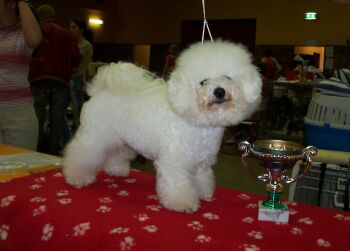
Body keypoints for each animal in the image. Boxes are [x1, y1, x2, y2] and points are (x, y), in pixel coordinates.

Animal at [63, 40, 262, 213]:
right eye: (203, 82)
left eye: (227, 78)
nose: (219, 91)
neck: (195, 121)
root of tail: (99, 92)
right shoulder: (175, 162)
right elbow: (178, 184)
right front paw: (183, 203)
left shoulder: (201, 163)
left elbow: (202, 179)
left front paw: (203, 193)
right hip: (93, 137)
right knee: (80, 155)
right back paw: (77, 177)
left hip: (119, 139)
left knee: (115, 154)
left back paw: (117, 170)